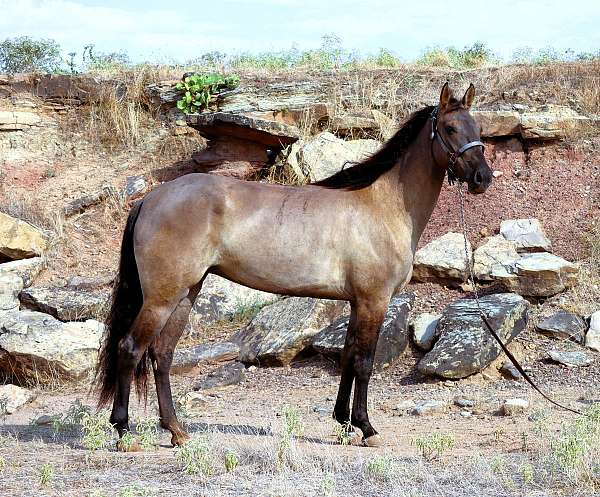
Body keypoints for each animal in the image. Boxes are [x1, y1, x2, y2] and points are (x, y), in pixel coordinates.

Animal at [96, 82, 492, 450]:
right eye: (451, 128)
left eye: (479, 128)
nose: (482, 178)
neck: (382, 206)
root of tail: (150, 199)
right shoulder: (374, 301)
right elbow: (364, 362)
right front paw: (366, 428)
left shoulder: (356, 303)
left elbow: (348, 357)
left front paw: (343, 423)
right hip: (161, 298)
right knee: (130, 349)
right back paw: (123, 432)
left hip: (185, 293)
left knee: (161, 354)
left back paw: (177, 432)